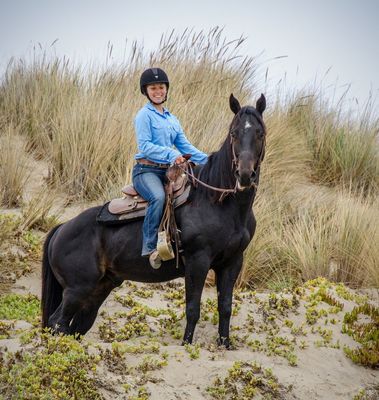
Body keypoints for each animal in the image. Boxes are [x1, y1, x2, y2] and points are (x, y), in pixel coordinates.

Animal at [42, 93, 268, 346]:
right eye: (233, 133)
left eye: (260, 133)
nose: (245, 175)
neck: (218, 203)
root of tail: (61, 228)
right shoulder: (198, 261)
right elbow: (193, 309)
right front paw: (186, 345)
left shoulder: (232, 262)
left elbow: (226, 307)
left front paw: (225, 345)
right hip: (76, 289)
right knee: (57, 323)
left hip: (99, 289)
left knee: (75, 327)